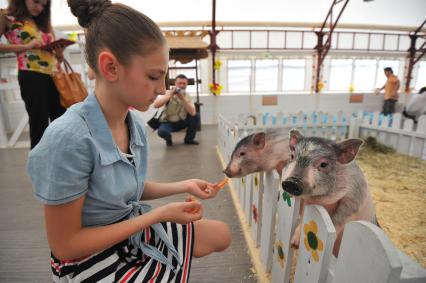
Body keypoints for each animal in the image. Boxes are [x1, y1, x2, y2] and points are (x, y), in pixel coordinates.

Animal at [282, 130, 376, 258]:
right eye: (292, 156)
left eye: (323, 164)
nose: (292, 181)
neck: (320, 200)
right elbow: (302, 218)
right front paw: (294, 244)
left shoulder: (355, 197)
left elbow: (337, 220)